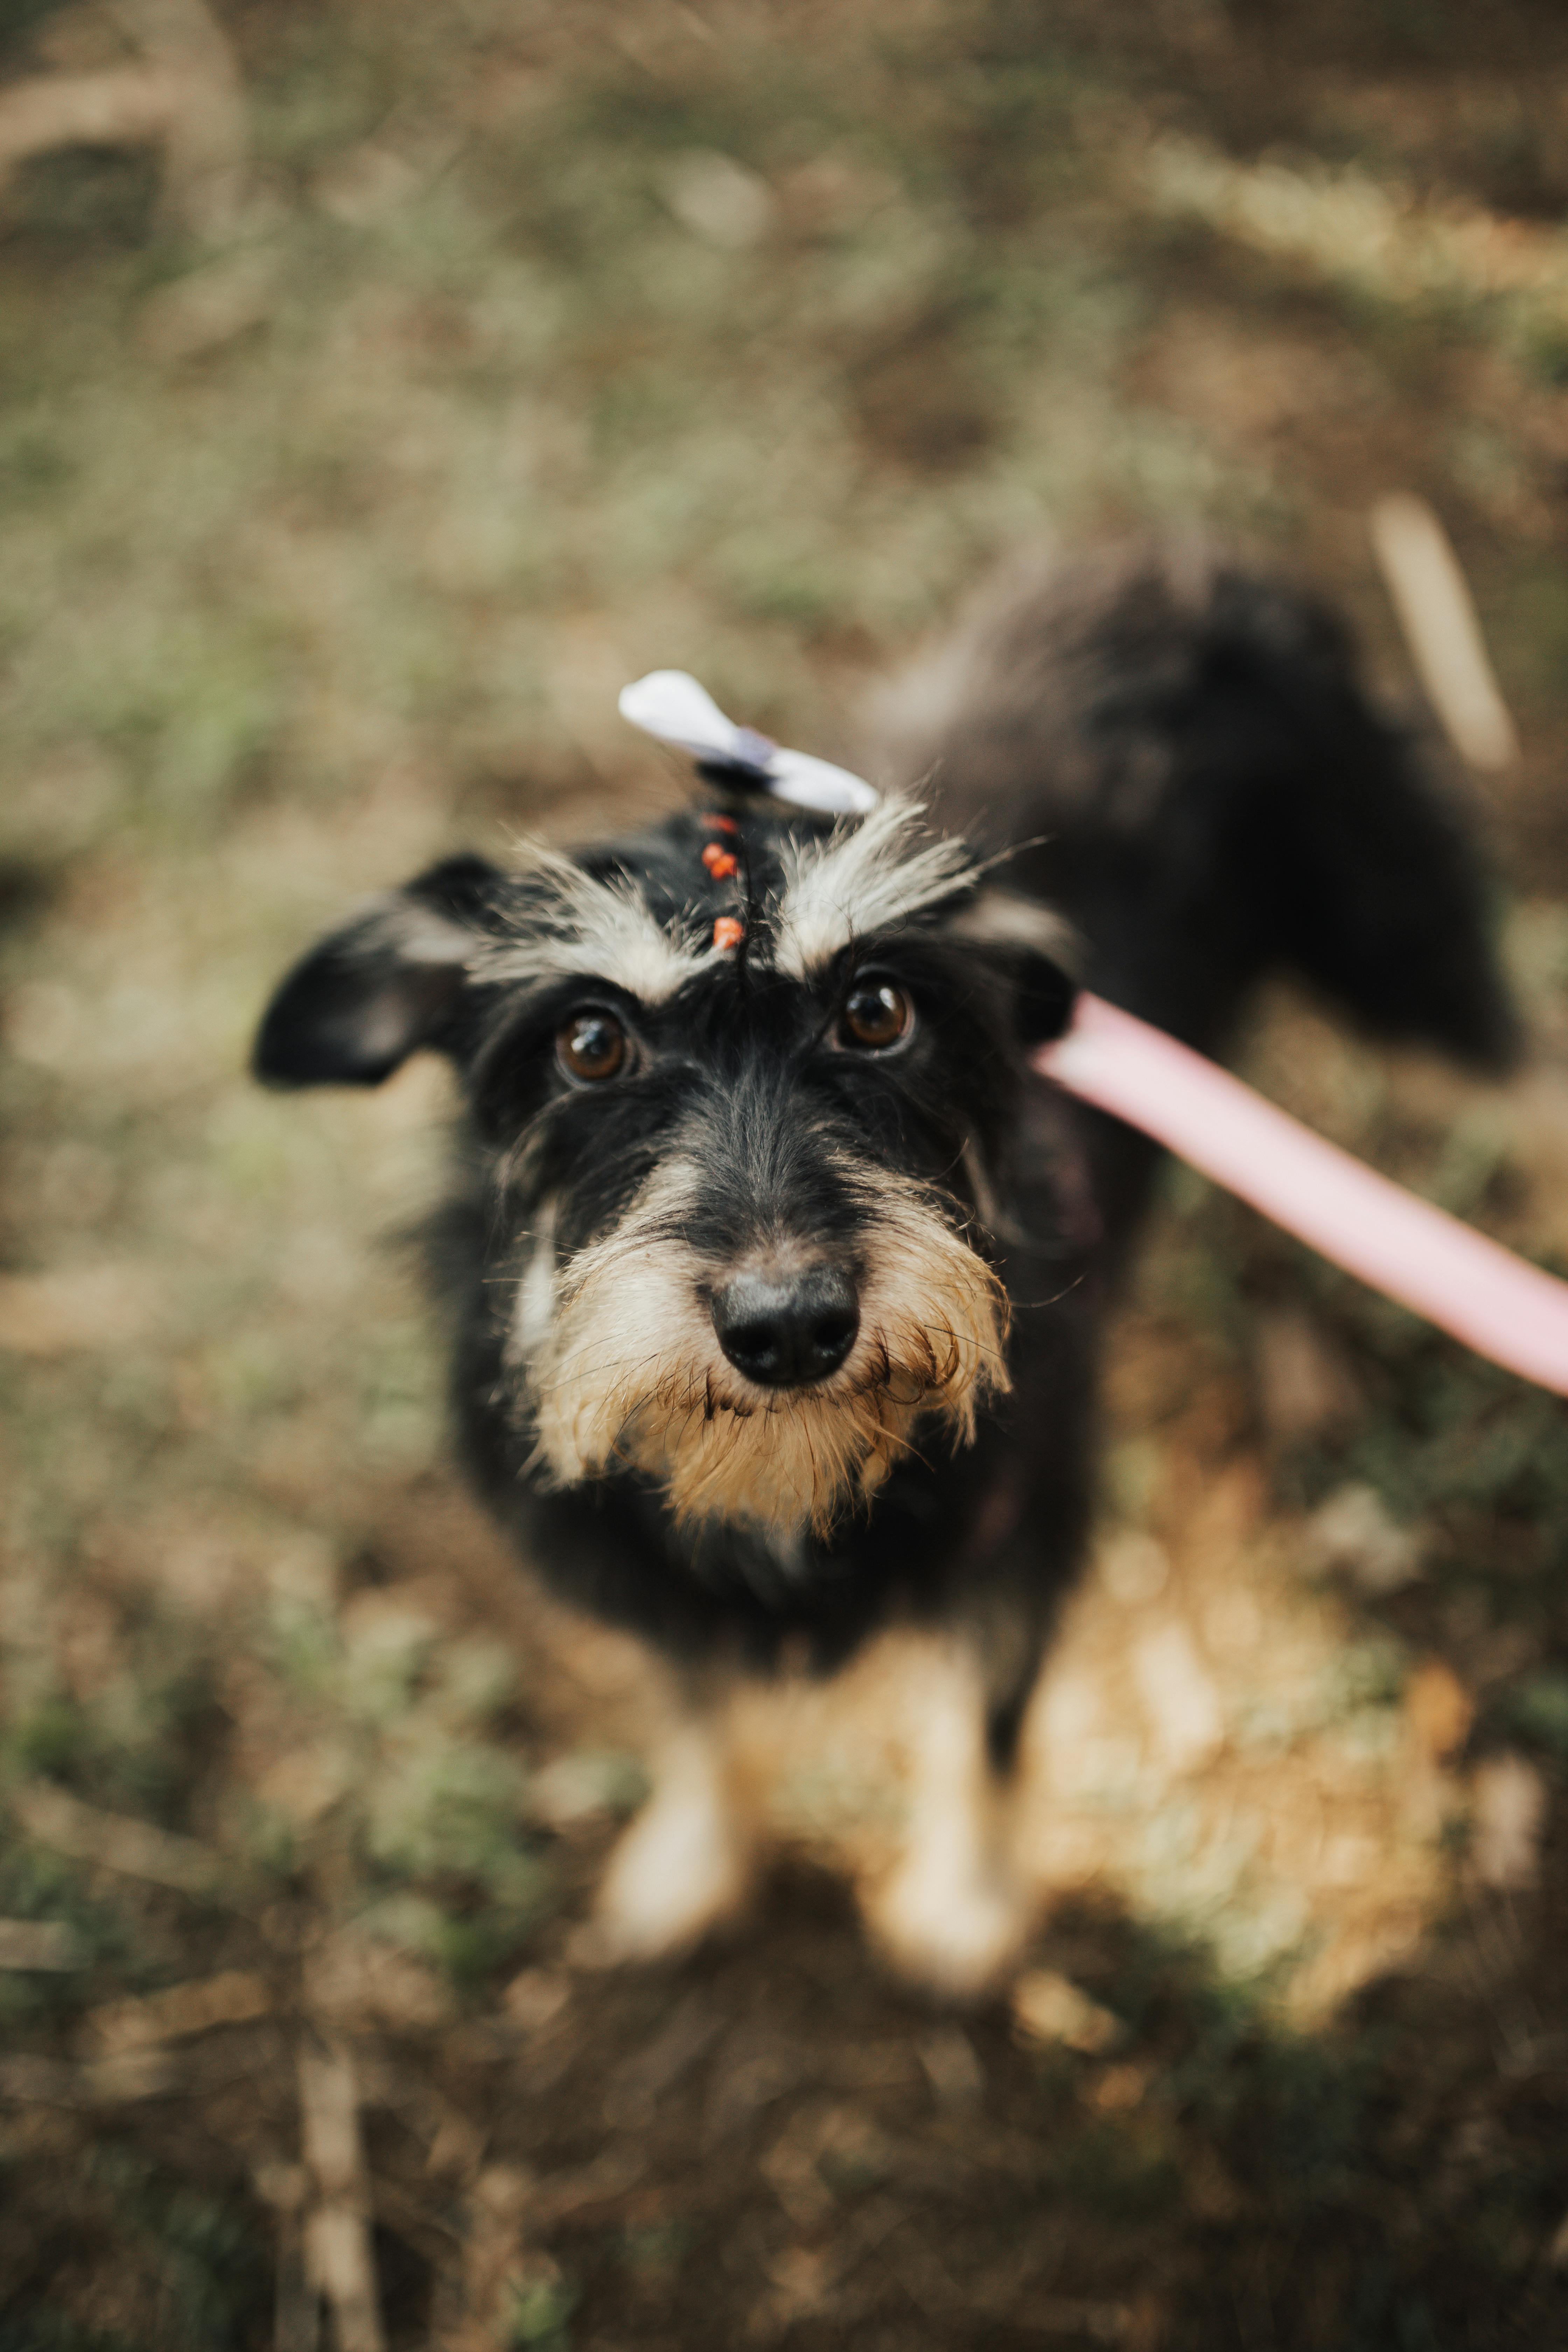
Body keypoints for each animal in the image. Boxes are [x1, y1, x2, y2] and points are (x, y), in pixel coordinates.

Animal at [257, 541, 1523, 1994]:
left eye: (877, 1009)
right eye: (588, 1043)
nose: (790, 1326)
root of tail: (1178, 560)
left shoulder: (1019, 1535)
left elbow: (986, 1727)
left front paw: (965, 1903)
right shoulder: (657, 1571)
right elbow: (702, 1711)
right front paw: (694, 1857)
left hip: (1407, 944)